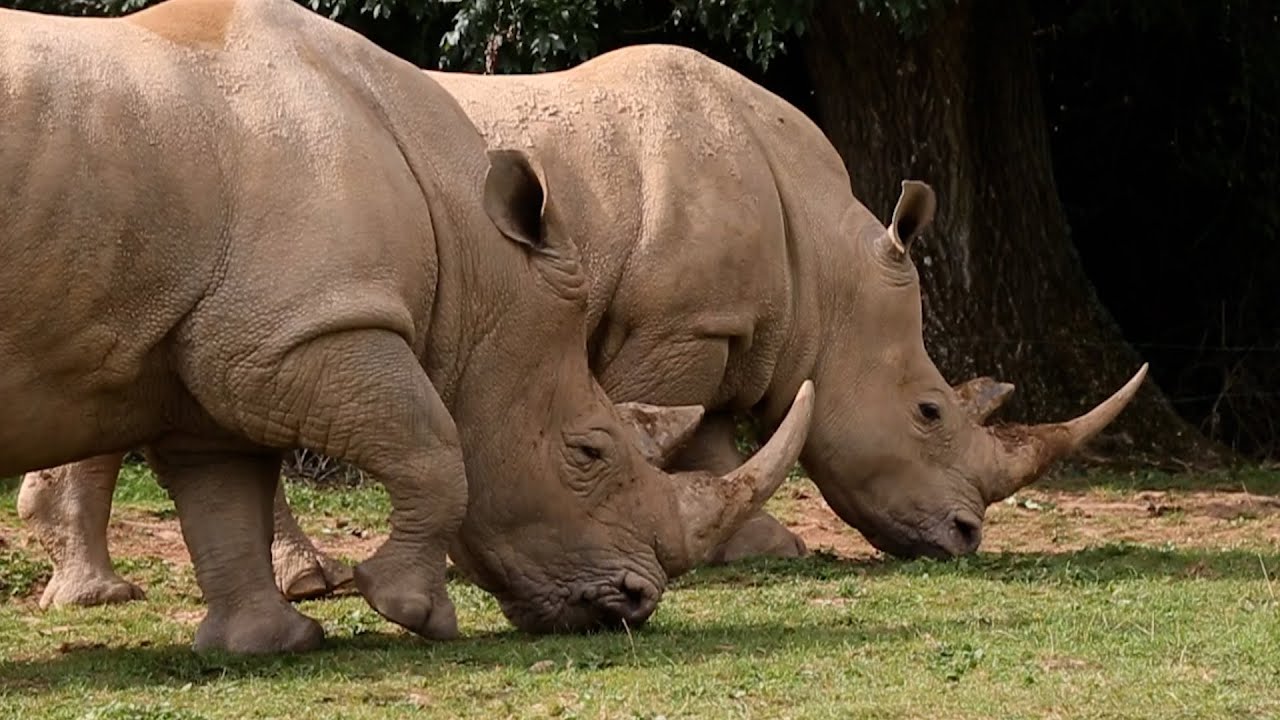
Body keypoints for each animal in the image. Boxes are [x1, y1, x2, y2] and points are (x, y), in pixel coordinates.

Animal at [0, 3, 815, 653]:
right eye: (588, 452)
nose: (636, 604)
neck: (475, 265)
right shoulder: (300, 331)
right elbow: (434, 447)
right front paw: (416, 612)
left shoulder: (231, 348)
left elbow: (220, 491)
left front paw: (269, 645)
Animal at [19, 42, 1146, 609]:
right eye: (927, 412)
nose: (965, 540)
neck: (823, 267)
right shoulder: (678, 323)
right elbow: (680, 434)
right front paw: (751, 549)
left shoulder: (712, 323)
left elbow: (713, 435)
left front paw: (760, 547)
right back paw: (114, 595)